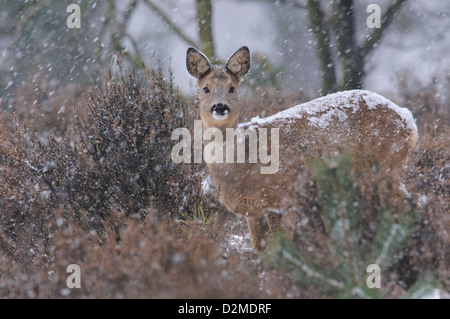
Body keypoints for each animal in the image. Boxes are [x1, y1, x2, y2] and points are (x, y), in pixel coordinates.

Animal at [185, 46, 416, 251]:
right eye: (205, 88)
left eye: (232, 88)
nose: (220, 107)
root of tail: (409, 121)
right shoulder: (252, 211)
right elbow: (260, 249)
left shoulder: (277, 198)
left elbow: (280, 247)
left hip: (384, 163)